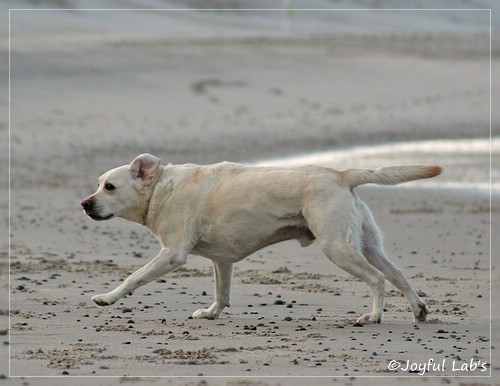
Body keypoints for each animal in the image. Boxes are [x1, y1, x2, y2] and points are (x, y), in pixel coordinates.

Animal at [81, 153, 442, 322]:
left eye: (109, 187)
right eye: (97, 184)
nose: (84, 204)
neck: (160, 189)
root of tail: (341, 174)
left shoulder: (172, 253)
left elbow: (133, 278)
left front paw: (108, 298)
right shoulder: (222, 261)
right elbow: (222, 294)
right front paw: (211, 314)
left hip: (337, 247)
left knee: (378, 279)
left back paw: (375, 316)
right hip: (366, 245)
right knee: (398, 275)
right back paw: (418, 310)